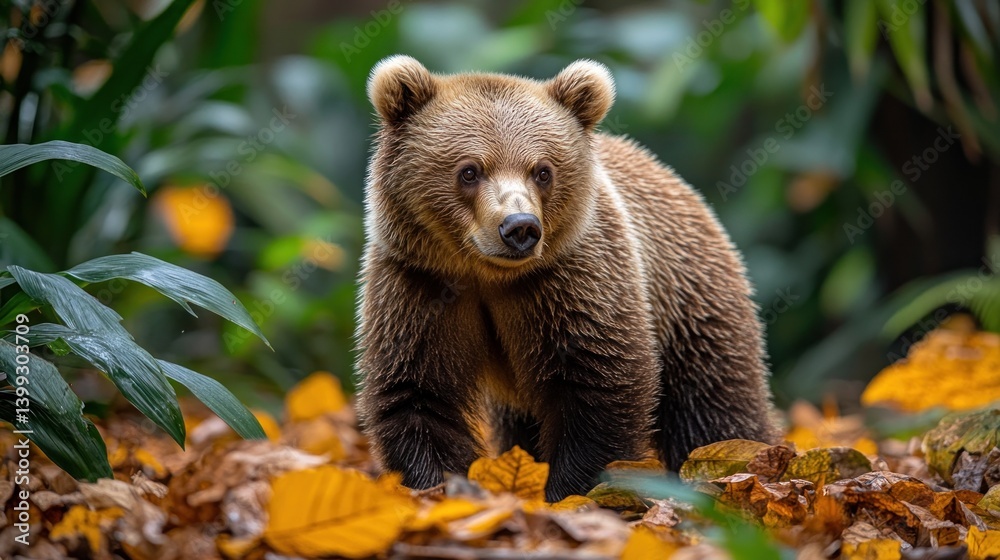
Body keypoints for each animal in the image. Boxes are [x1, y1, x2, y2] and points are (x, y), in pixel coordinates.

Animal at [355, 55, 777, 501]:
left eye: (543, 170)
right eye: (469, 171)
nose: (519, 227)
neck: (486, 274)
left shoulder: (572, 281)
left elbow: (598, 384)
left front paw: (570, 492)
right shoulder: (420, 283)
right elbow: (416, 392)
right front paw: (438, 486)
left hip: (688, 299)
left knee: (712, 405)